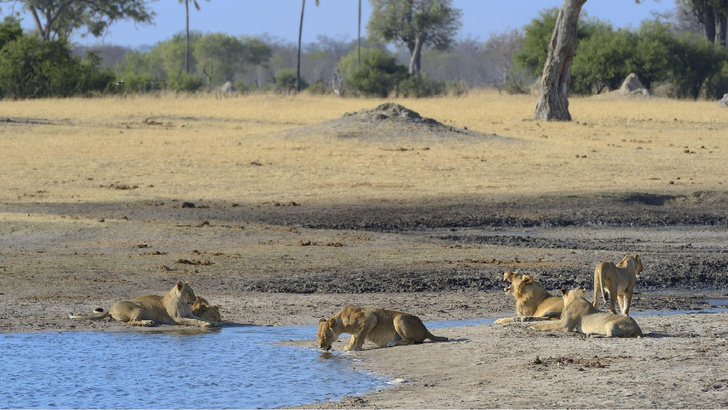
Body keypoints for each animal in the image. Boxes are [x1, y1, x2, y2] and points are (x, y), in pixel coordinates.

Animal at [70, 280, 219, 328]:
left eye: (193, 292)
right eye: (189, 292)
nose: (194, 299)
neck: (183, 303)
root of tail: (110, 307)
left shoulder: (190, 314)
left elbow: (198, 318)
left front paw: (213, 322)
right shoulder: (178, 318)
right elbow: (195, 321)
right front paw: (206, 324)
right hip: (139, 307)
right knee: (132, 321)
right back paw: (148, 322)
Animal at [316, 304, 446, 352]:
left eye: (324, 337)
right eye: (318, 336)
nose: (320, 347)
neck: (342, 321)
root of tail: (425, 329)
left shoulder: (371, 318)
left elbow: (361, 335)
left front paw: (357, 348)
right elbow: (354, 337)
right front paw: (350, 347)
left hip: (398, 318)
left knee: (411, 340)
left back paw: (390, 343)